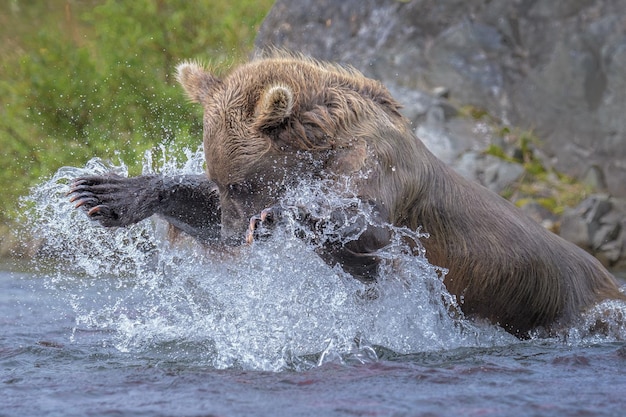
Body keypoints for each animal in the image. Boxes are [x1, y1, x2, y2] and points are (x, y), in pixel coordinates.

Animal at [66, 52, 620, 338]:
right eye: (220, 181)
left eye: (242, 183)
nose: (230, 232)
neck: (324, 140)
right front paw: (107, 191)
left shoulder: (378, 166)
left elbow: (366, 230)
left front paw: (280, 216)